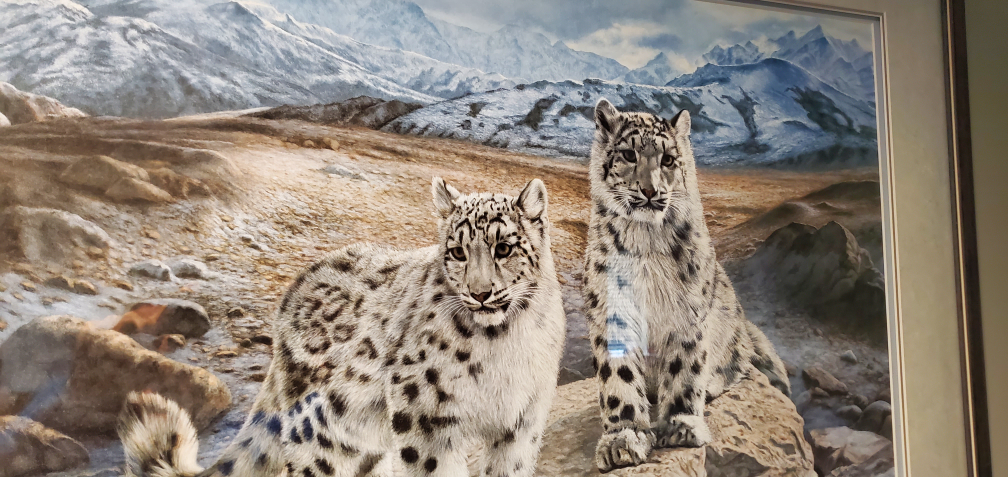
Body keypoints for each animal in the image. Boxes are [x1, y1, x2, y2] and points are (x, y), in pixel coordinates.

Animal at [117, 177, 567, 477]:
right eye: (457, 252)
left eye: (503, 248)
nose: (480, 293)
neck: (505, 343)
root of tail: (291, 296)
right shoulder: (426, 418)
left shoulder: (522, 423)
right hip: (325, 433)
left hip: (364, 440)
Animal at [581, 98, 791, 472]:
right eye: (629, 155)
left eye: (668, 159)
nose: (650, 191)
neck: (645, 243)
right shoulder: (613, 311)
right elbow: (618, 378)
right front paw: (622, 439)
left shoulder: (685, 310)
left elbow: (684, 367)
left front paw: (680, 426)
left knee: (737, 363)